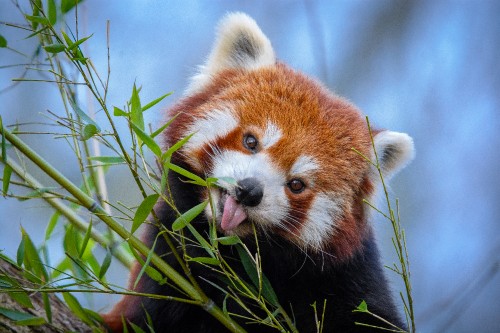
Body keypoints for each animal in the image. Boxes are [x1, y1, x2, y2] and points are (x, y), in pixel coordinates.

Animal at [102, 11, 414, 330]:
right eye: (251, 142)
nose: (249, 190)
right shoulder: (168, 260)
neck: (236, 252)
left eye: (297, 184)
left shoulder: (350, 278)